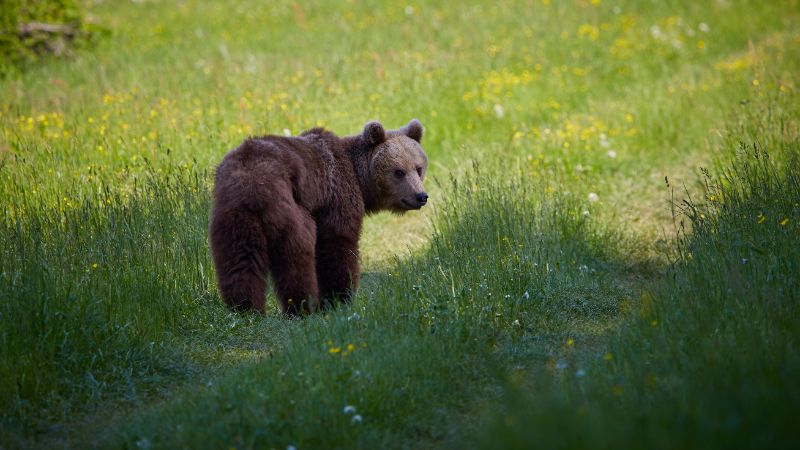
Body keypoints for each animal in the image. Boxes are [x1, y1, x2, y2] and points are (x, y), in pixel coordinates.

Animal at [209, 120, 428, 316]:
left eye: (418, 168)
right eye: (399, 172)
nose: (421, 196)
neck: (359, 178)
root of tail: (252, 184)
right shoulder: (335, 196)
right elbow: (337, 243)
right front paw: (339, 297)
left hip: (233, 213)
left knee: (239, 258)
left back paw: (244, 307)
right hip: (287, 205)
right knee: (296, 254)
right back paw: (302, 306)